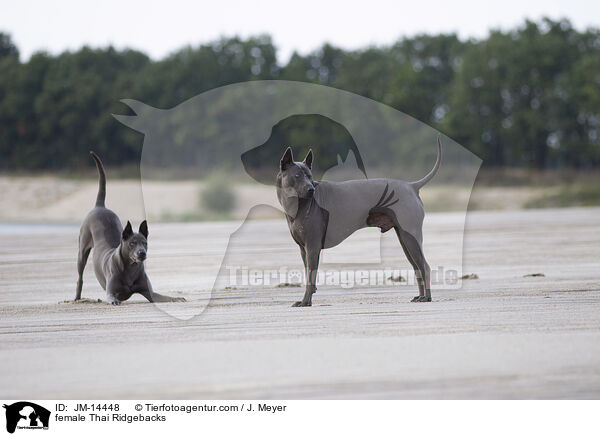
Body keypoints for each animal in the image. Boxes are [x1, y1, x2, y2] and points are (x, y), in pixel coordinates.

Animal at [76, 152, 186, 304]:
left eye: (145, 243)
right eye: (132, 243)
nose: (142, 253)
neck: (130, 268)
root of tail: (100, 206)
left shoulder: (151, 293)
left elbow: (163, 297)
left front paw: (177, 298)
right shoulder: (111, 292)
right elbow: (111, 297)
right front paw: (115, 301)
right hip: (82, 249)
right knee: (80, 276)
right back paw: (77, 298)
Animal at [276, 136, 440, 306]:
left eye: (309, 176)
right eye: (297, 176)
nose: (311, 189)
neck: (298, 206)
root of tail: (412, 186)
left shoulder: (312, 247)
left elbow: (310, 276)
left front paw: (305, 302)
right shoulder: (303, 249)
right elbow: (308, 274)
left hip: (411, 237)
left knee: (425, 267)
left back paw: (427, 297)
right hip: (404, 239)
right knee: (416, 268)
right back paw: (419, 296)